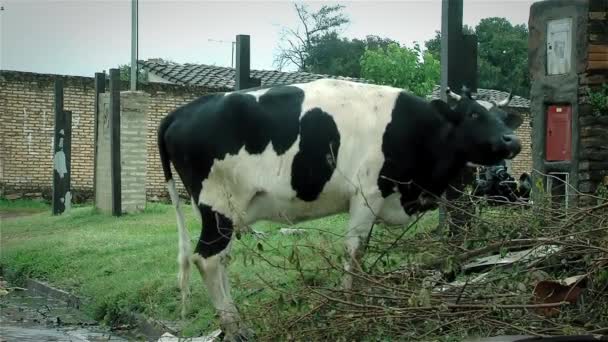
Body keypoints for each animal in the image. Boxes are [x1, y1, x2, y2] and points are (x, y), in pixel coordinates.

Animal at [158, 78, 524, 340]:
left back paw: (237, 324)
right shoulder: (366, 195)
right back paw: (234, 328)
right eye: (474, 114)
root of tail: (182, 112)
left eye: (503, 118)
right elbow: (354, 251)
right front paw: (351, 305)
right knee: (207, 259)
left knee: (220, 260)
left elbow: (361, 254)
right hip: (217, 205)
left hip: (227, 214)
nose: (513, 141)